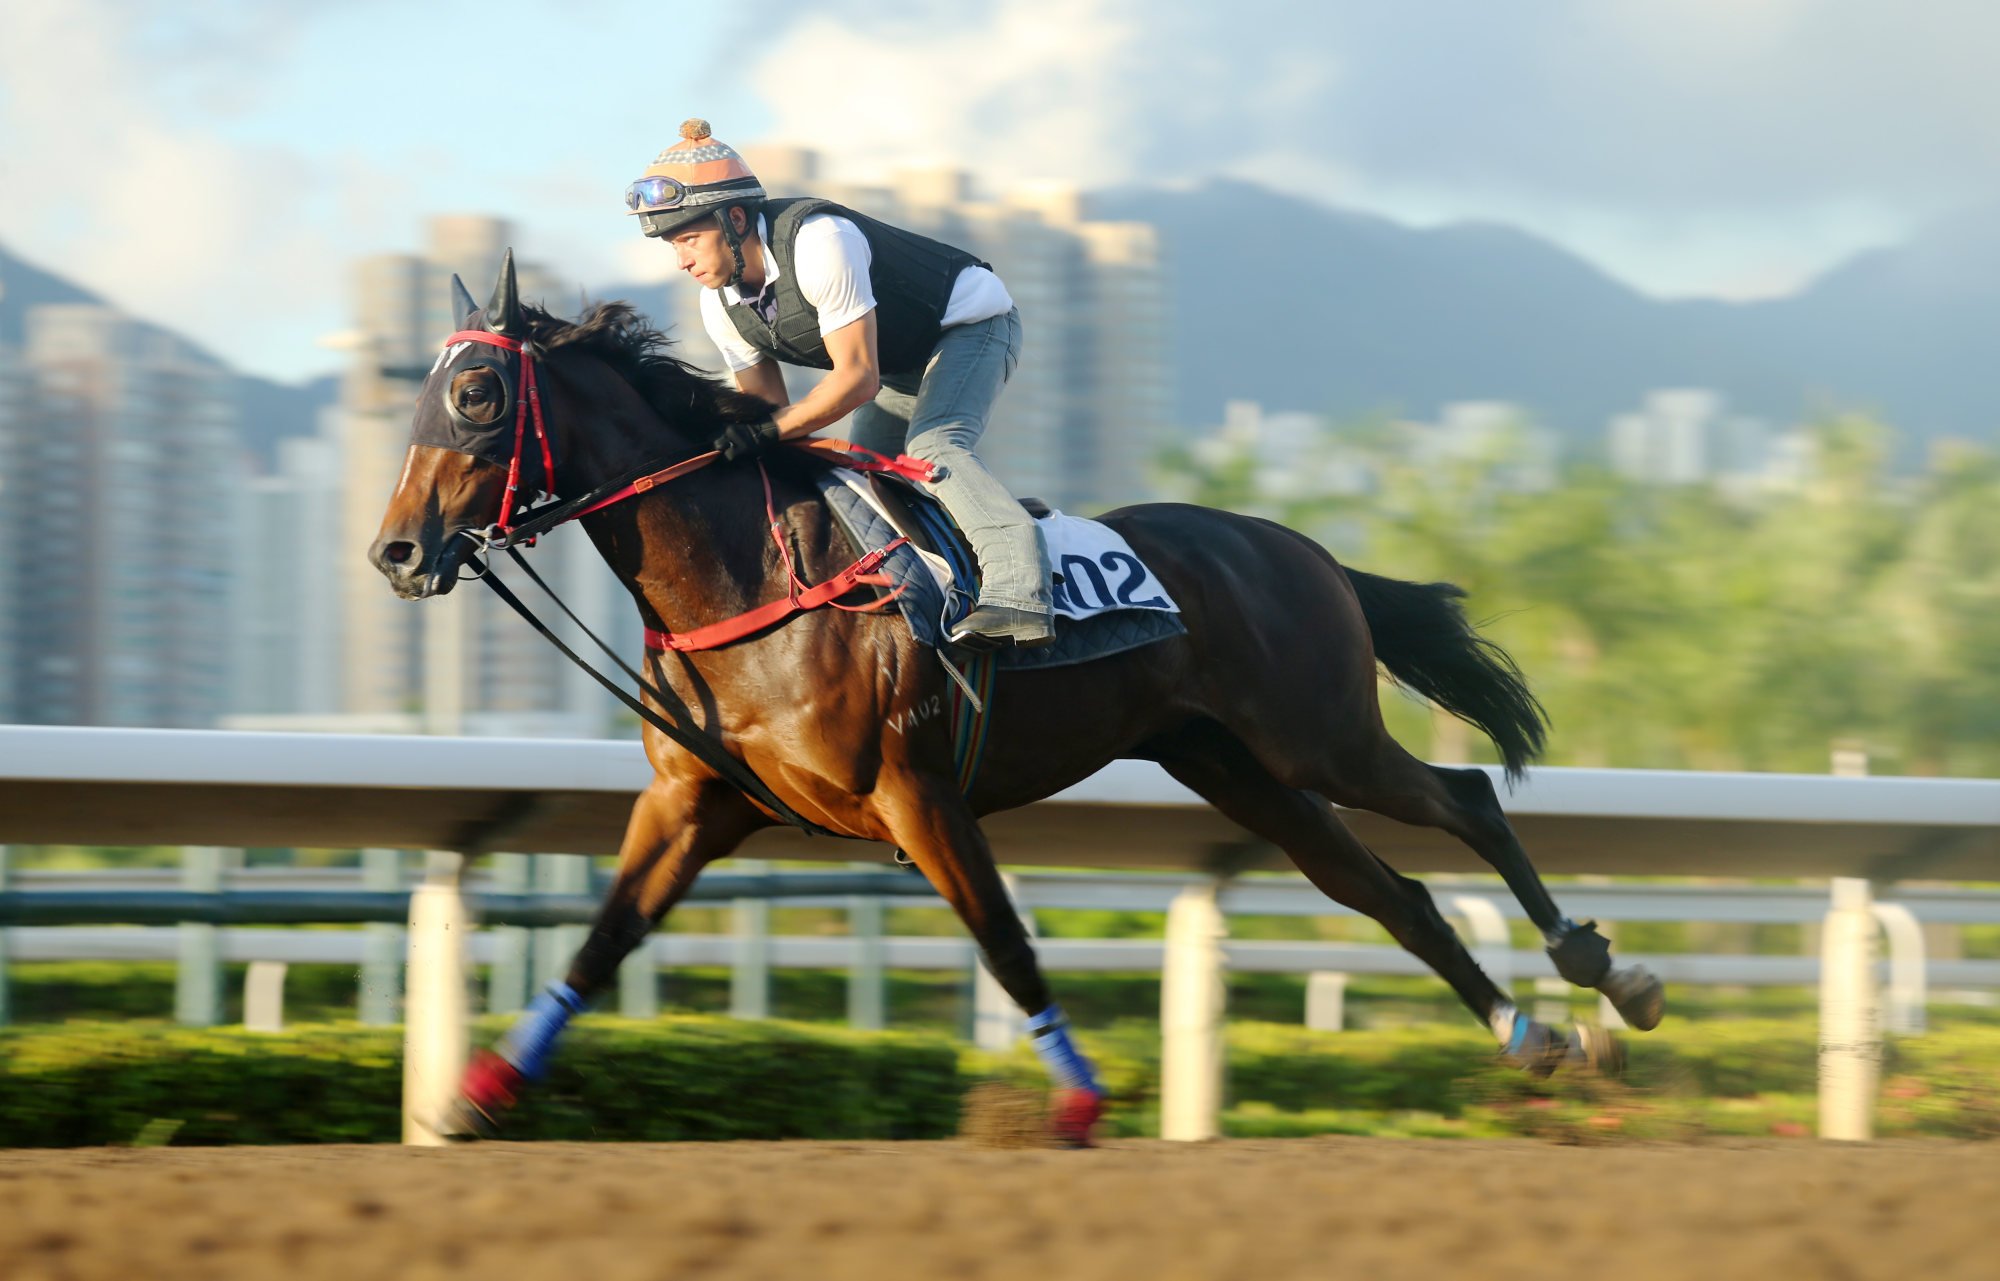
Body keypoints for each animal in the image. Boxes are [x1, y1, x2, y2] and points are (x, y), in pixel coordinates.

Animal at [372, 255, 1656, 1144]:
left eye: (477, 392)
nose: (396, 550)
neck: (751, 580)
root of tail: (1306, 551)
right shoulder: (697, 801)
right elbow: (602, 941)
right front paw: (475, 1095)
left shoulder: (916, 793)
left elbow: (1003, 941)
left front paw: (1081, 1103)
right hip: (1235, 767)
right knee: (1390, 894)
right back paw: (1528, 1031)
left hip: (1315, 736)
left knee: (1465, 797)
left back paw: (1603, 972)